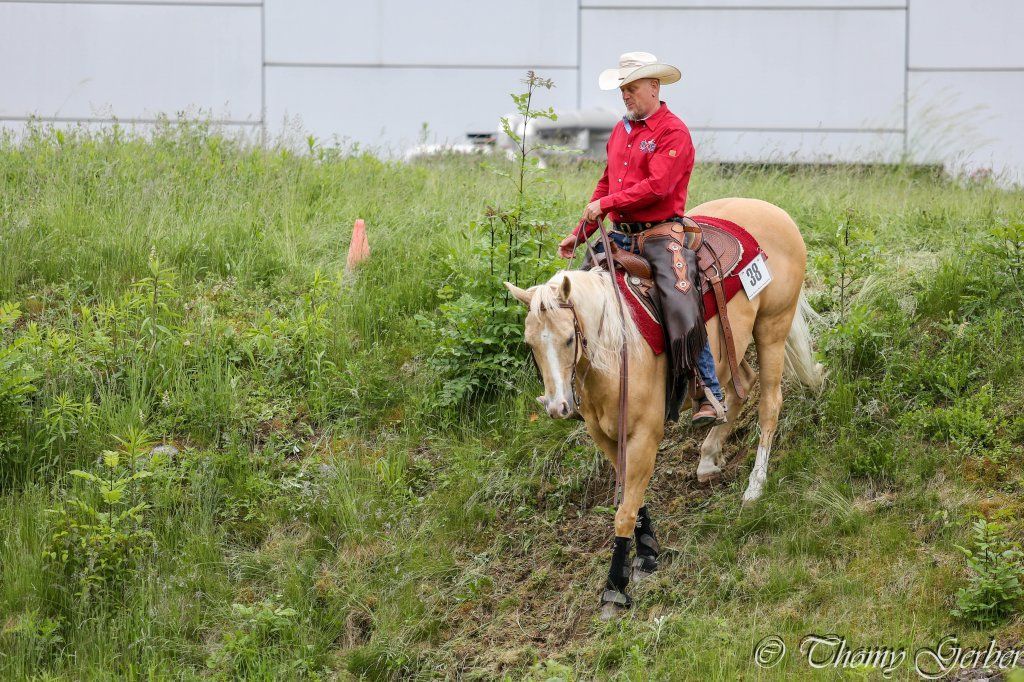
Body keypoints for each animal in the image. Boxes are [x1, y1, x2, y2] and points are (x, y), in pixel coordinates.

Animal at [504, 197, 824, 617]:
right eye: (530, 343)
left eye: (569, 338)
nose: (558, 406)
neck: (617, 346)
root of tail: (775, 211)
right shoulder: (605, 436)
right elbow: (631, 497)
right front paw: (647, 553)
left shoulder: (644, 435)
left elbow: (625, 509)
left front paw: (615, 587)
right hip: (732, 346)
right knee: (740, 388)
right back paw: (708, 454)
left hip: (772, 326)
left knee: (769, 403)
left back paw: (755, 486)